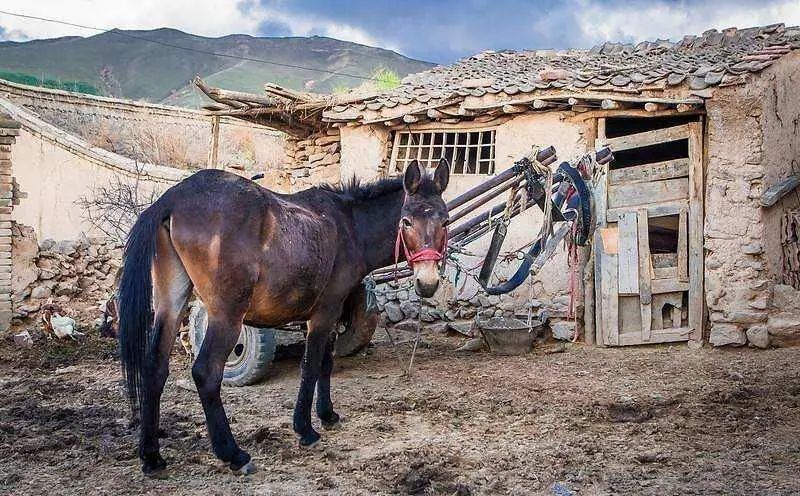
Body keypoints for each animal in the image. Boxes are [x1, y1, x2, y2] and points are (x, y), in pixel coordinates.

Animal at [118, 159, 450, 475]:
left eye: (445, 221)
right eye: (406, 221)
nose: (427, 283)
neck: (350, 226)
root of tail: (173, 198)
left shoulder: (328, 316)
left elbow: (326, 365)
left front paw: (327, 414)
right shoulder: (324, 313)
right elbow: (311, 366)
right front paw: (305, 429)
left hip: (170, 303)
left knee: (154, 367)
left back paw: (151, 457)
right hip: (227, 315)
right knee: (206, 372)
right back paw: (233, 454)